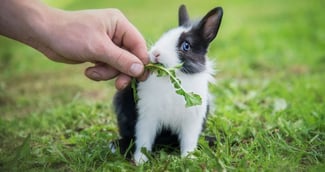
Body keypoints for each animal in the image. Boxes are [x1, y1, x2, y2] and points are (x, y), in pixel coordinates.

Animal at [112, 4, 223, 165]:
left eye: (186, 46)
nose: (156, 53)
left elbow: (189, 141)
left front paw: (189, 158)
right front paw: (140, 161)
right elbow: (144, 140)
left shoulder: (192, 120)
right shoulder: (146, 117)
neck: (173, 80)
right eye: (164, 36)